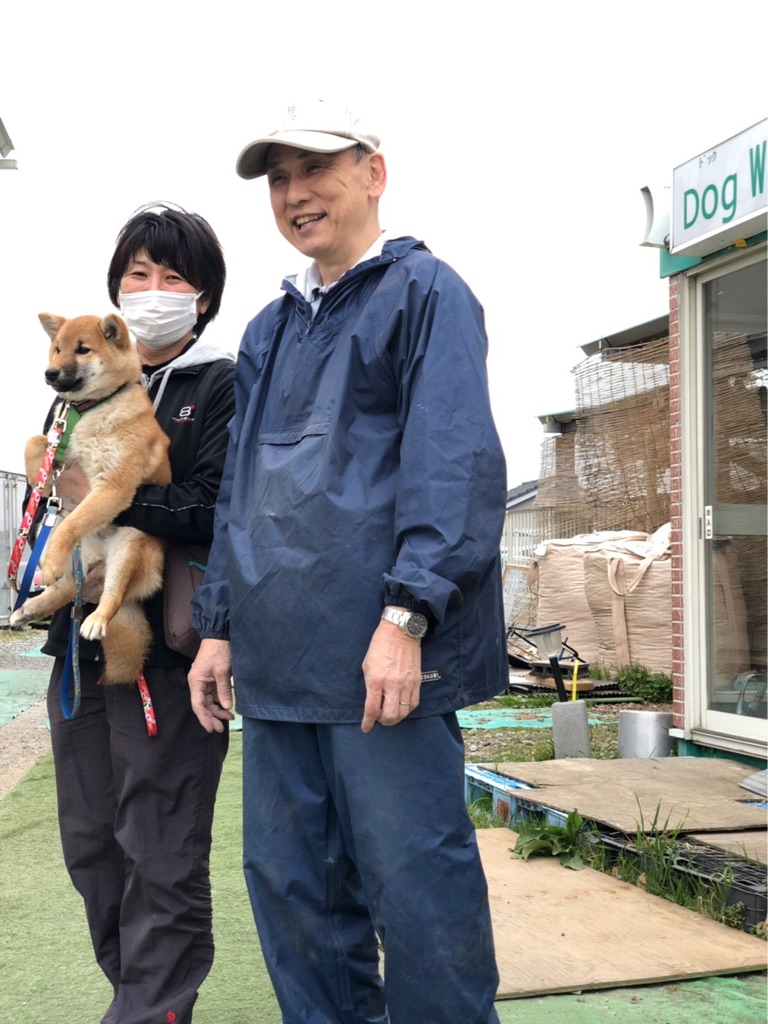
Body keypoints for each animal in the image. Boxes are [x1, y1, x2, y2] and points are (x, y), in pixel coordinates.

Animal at [10, 313, 172, 684]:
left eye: (83, 350)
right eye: (57, 350)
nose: (50, 373)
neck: (88, 410)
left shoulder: (113, 487)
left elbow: (80, 519)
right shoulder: (57, 443)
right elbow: (34, 443)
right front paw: (37, 486)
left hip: (129, 544)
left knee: (112, 593)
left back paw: (95, 618)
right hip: (66, 540)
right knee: (68, 588)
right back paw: (30, 607)